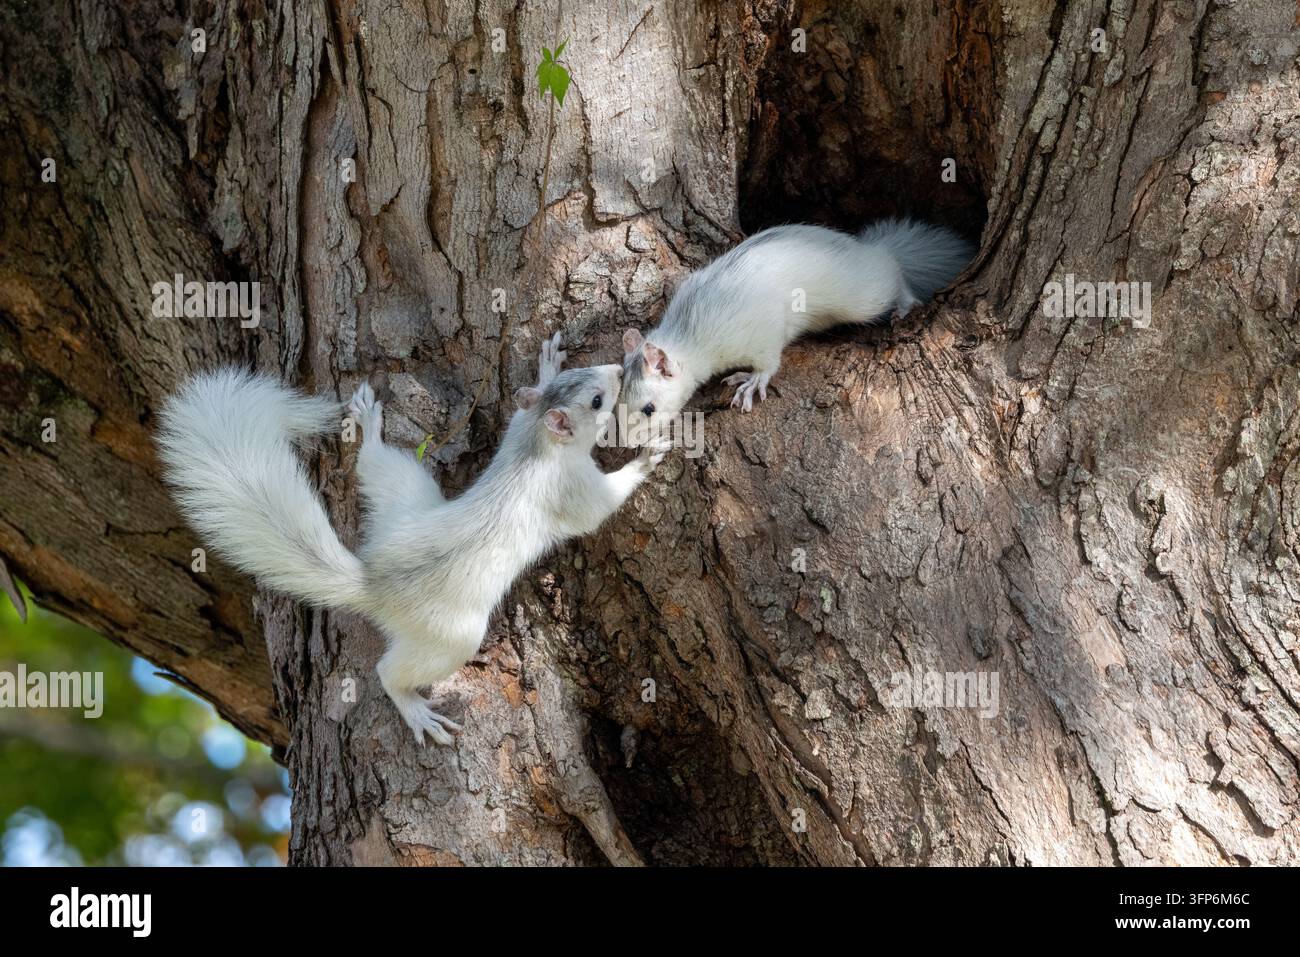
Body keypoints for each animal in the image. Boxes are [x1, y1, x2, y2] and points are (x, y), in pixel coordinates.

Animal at [155, 334, 668, 746]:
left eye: (574, 375)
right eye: (598, 401)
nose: (618, 369)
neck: (539, 445)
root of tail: (374, 585)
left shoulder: (519, 425)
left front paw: (543, 361)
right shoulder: (570, 489)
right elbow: (599, 506)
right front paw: (646, 459)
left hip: (406, 492)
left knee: (376, 463)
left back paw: (368, 426)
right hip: (452, 636)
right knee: (389, 673)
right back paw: (415, 710)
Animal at [616, 218, 974, 439]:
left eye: (649, 409)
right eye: (617, 400)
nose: (630, 444)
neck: (688, 332)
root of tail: (870, 251)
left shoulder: (760, 332)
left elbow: (768, 363)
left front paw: (750, 382)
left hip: (866, 295)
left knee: (896, 274)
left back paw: (904, 303)